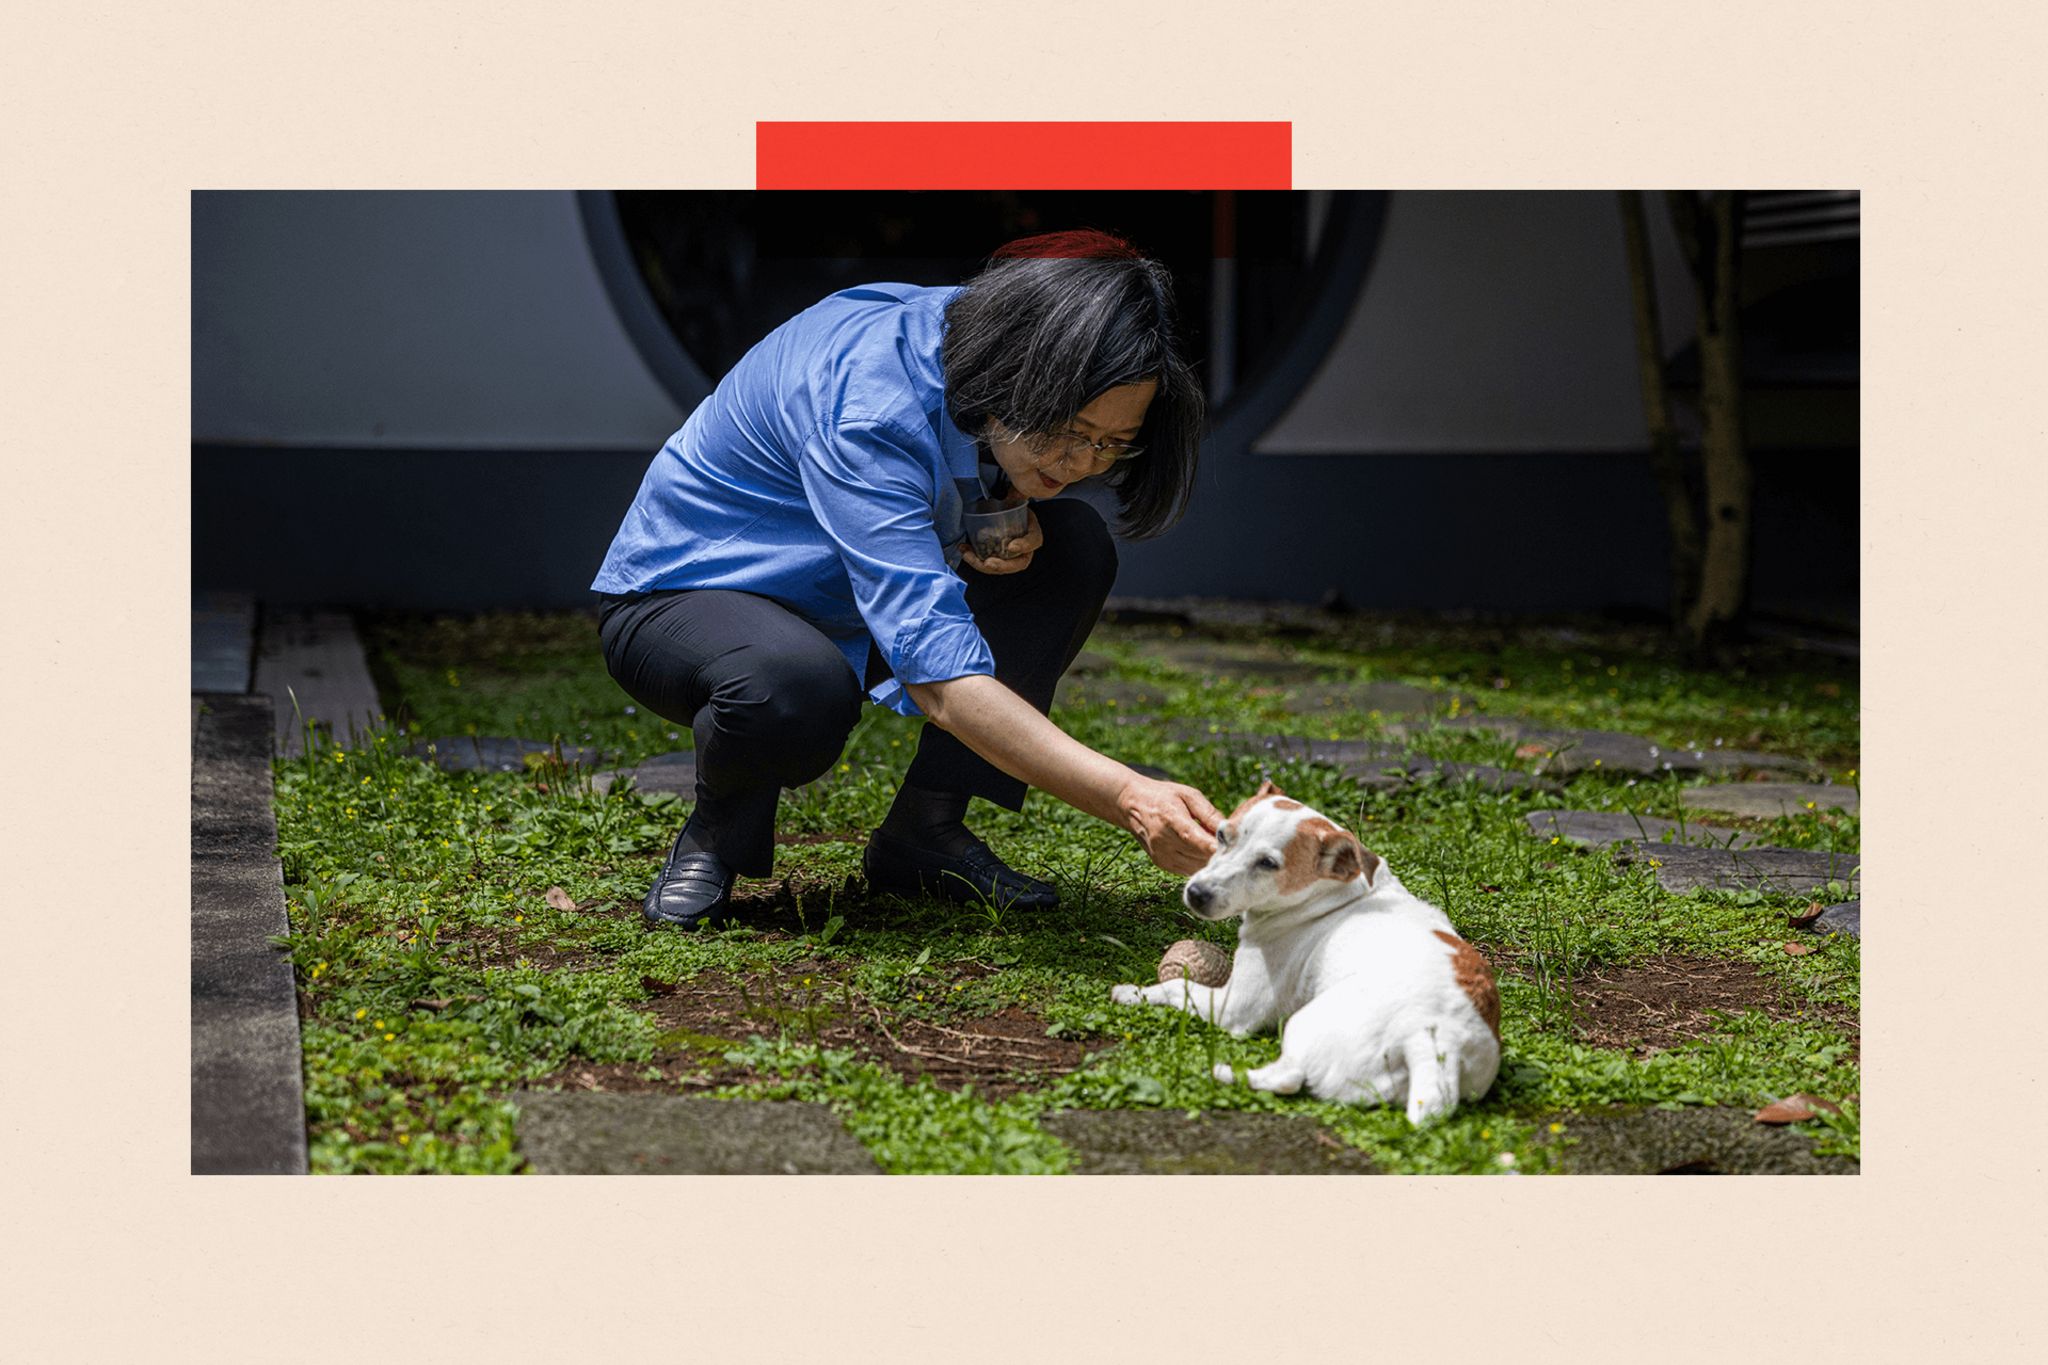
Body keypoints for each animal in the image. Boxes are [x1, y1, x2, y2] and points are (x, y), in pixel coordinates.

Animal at [1114, 777, 1499, 1121]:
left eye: (1268, 864)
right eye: (1222, 835)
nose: (1197, 894)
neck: (1335, 894)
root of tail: (1434, 1040)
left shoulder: (1235, 1006)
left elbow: (1176, 985)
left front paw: (1132, 992)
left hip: (1304, 1024)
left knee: (1286, 1078)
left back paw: (1221, 1072)